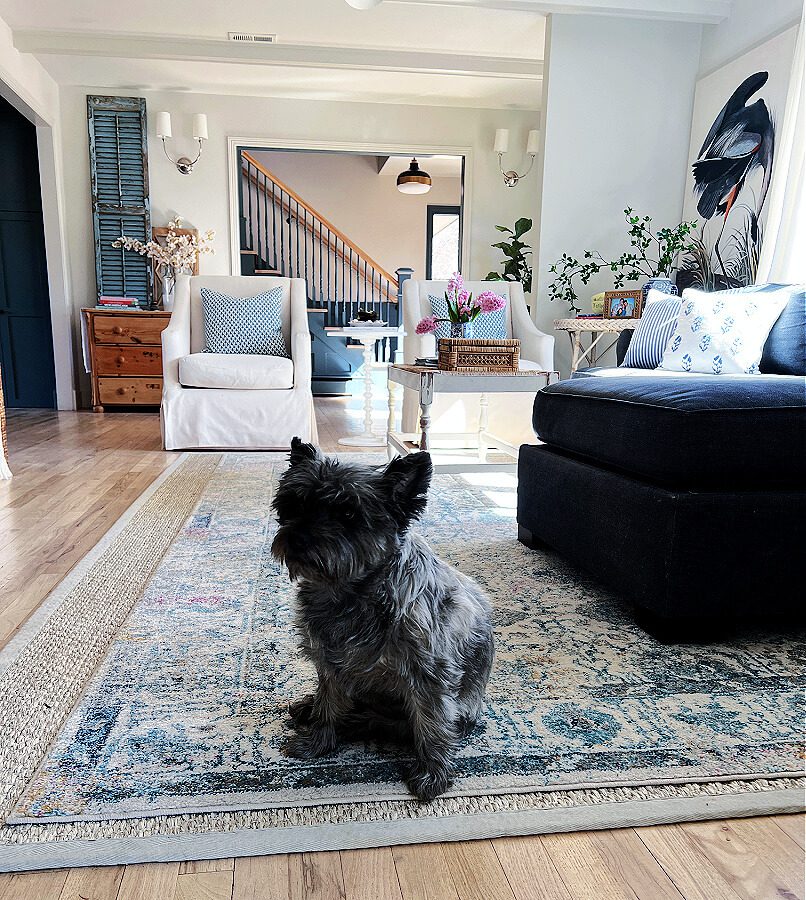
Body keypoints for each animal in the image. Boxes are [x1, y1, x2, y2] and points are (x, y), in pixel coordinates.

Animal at [274, 440, 496, 800]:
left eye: (349, 513)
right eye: (295, 504)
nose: (297, 539)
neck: (351, 593)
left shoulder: (429, 676)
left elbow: (433, 726)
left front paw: (433, 773)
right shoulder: (330, 663)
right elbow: (327, 705)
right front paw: (317, 742)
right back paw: (313, 708)